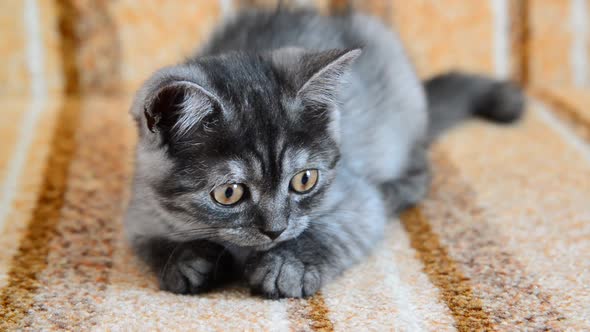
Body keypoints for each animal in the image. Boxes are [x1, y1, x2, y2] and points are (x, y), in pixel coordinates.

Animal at [126, 7, 528, 298]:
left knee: (419, 171)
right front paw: (184, 260)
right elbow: (147, 240)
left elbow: (333, 228)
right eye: (229, 192)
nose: (275, 230)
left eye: (304, 180)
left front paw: (288, 265)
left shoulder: (357, 198)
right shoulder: (140, 206)